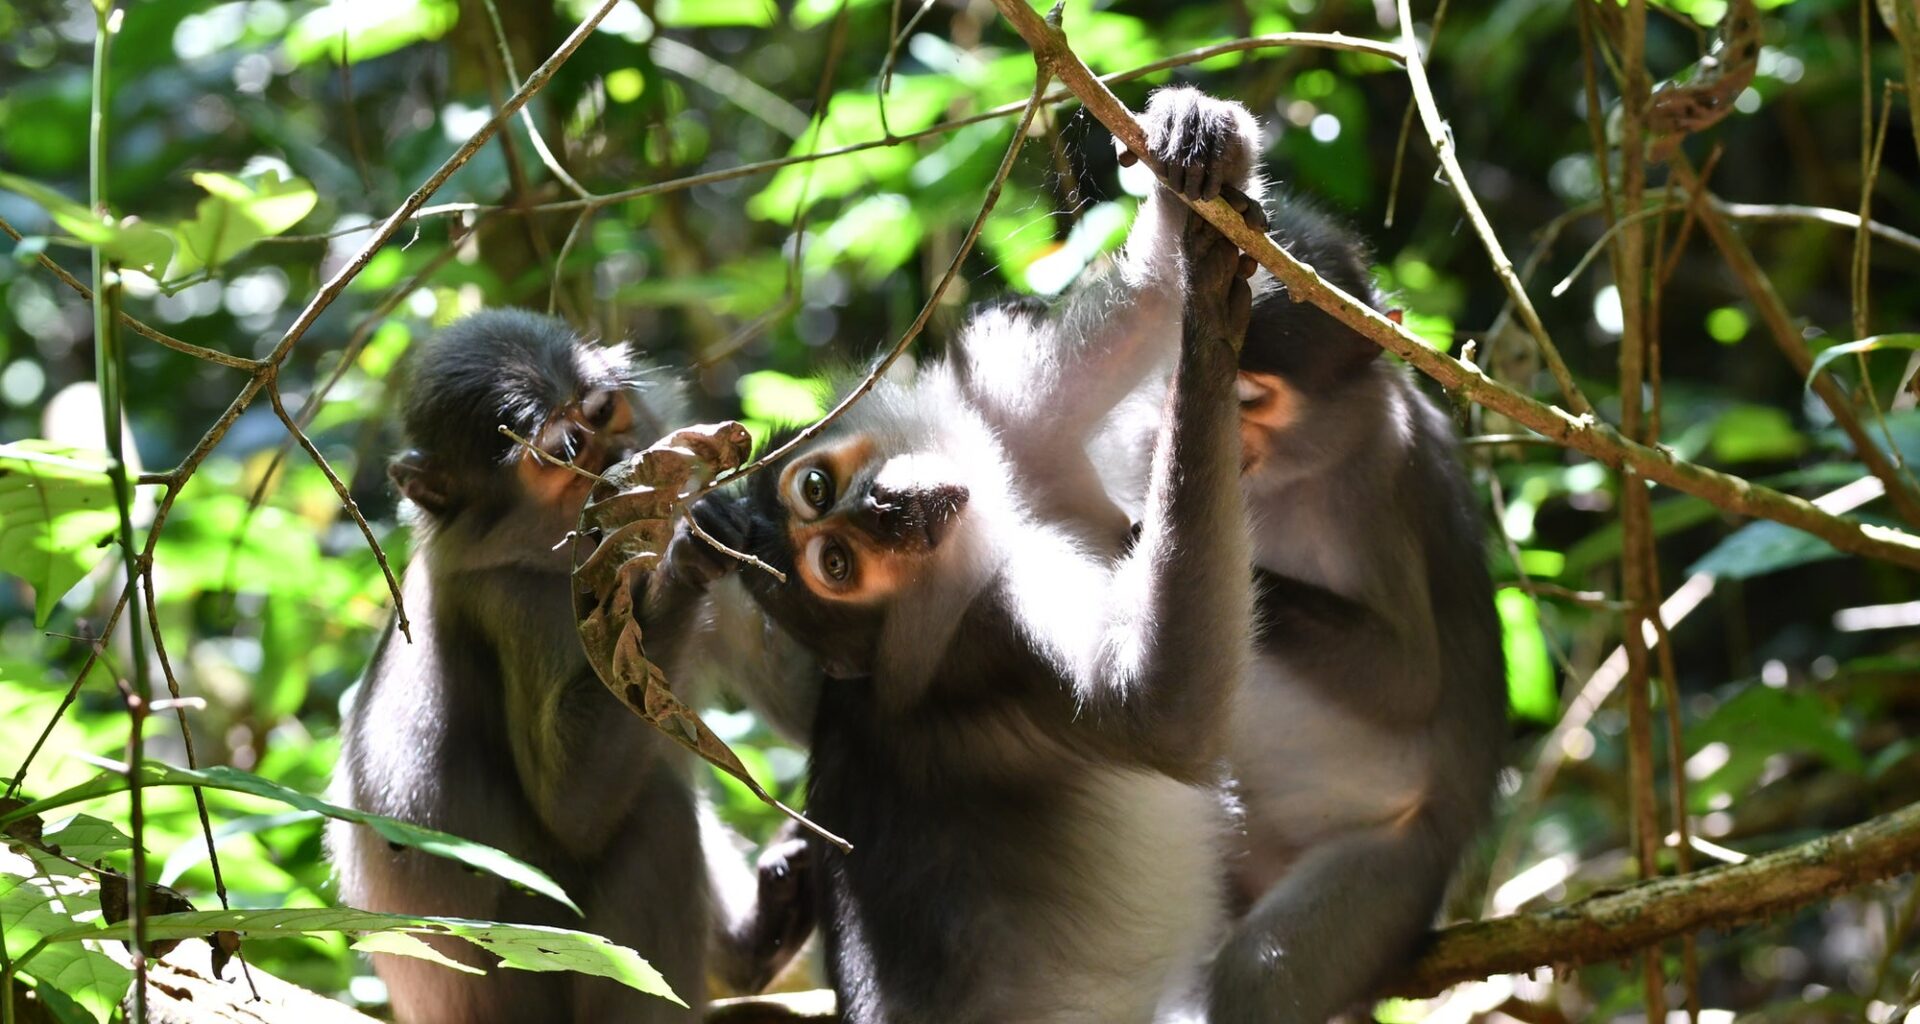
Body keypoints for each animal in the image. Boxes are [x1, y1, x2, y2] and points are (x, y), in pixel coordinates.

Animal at [326, 308, 811, 1024]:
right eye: (564, 451)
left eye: (603, 411)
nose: (619, 461)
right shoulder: (512, 600)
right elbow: (571, 812)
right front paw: (682, 563)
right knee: (655, 808)